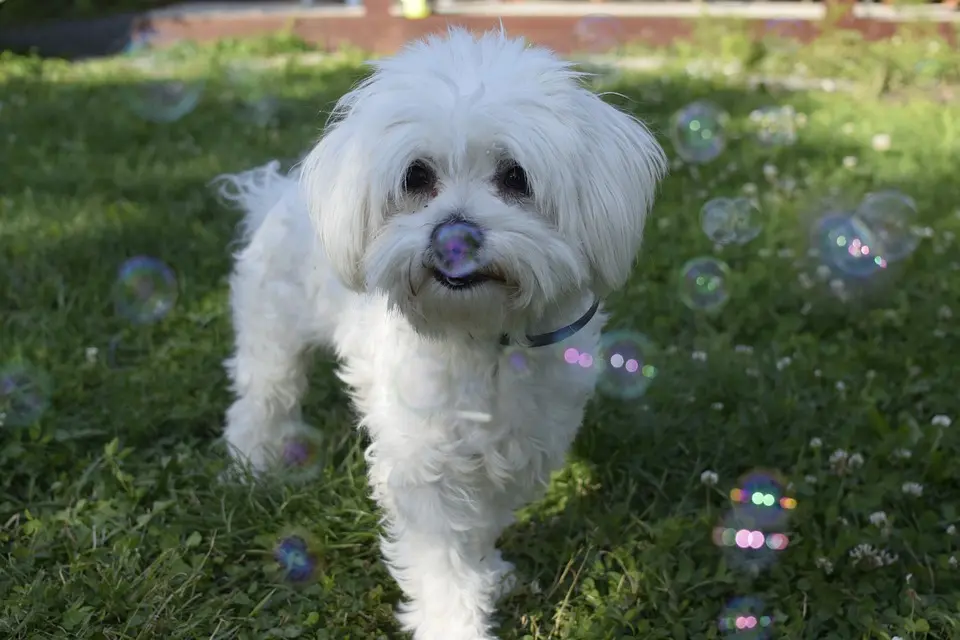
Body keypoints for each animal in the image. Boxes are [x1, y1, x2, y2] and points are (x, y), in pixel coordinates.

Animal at [220, 26, 664, 640]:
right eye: (417, 177)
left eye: (515, 177)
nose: (455, 235)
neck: (481, 336)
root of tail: (275, 193)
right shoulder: (422, 465)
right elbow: (441, 561)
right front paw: (455, 621)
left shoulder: (520, 448)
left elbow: (480, 528)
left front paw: (489, 572)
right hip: (273, 337)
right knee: (262, 400)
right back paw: (253, 466)